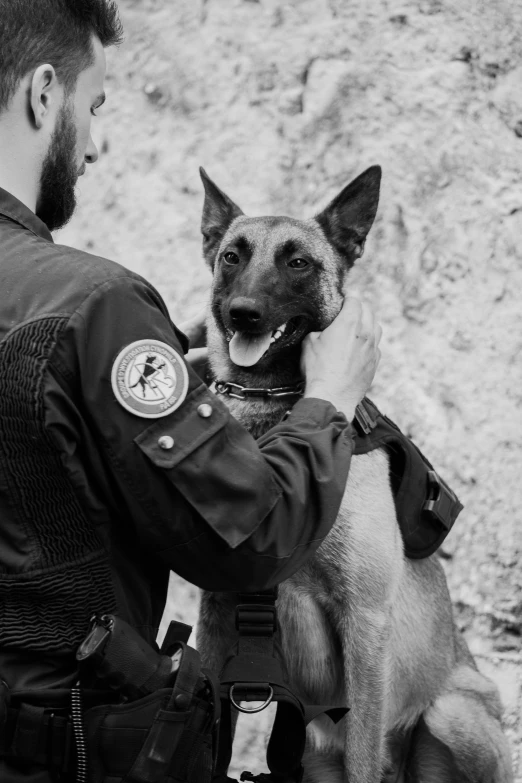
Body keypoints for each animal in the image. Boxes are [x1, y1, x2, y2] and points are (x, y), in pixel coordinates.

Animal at [193, 167, 510, 783]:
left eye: (298, 262)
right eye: (231, 257)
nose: (243, 312)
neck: (276, 412)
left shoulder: (364, 623)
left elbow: (364, 752)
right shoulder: (217, 623)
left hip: (451, 712)